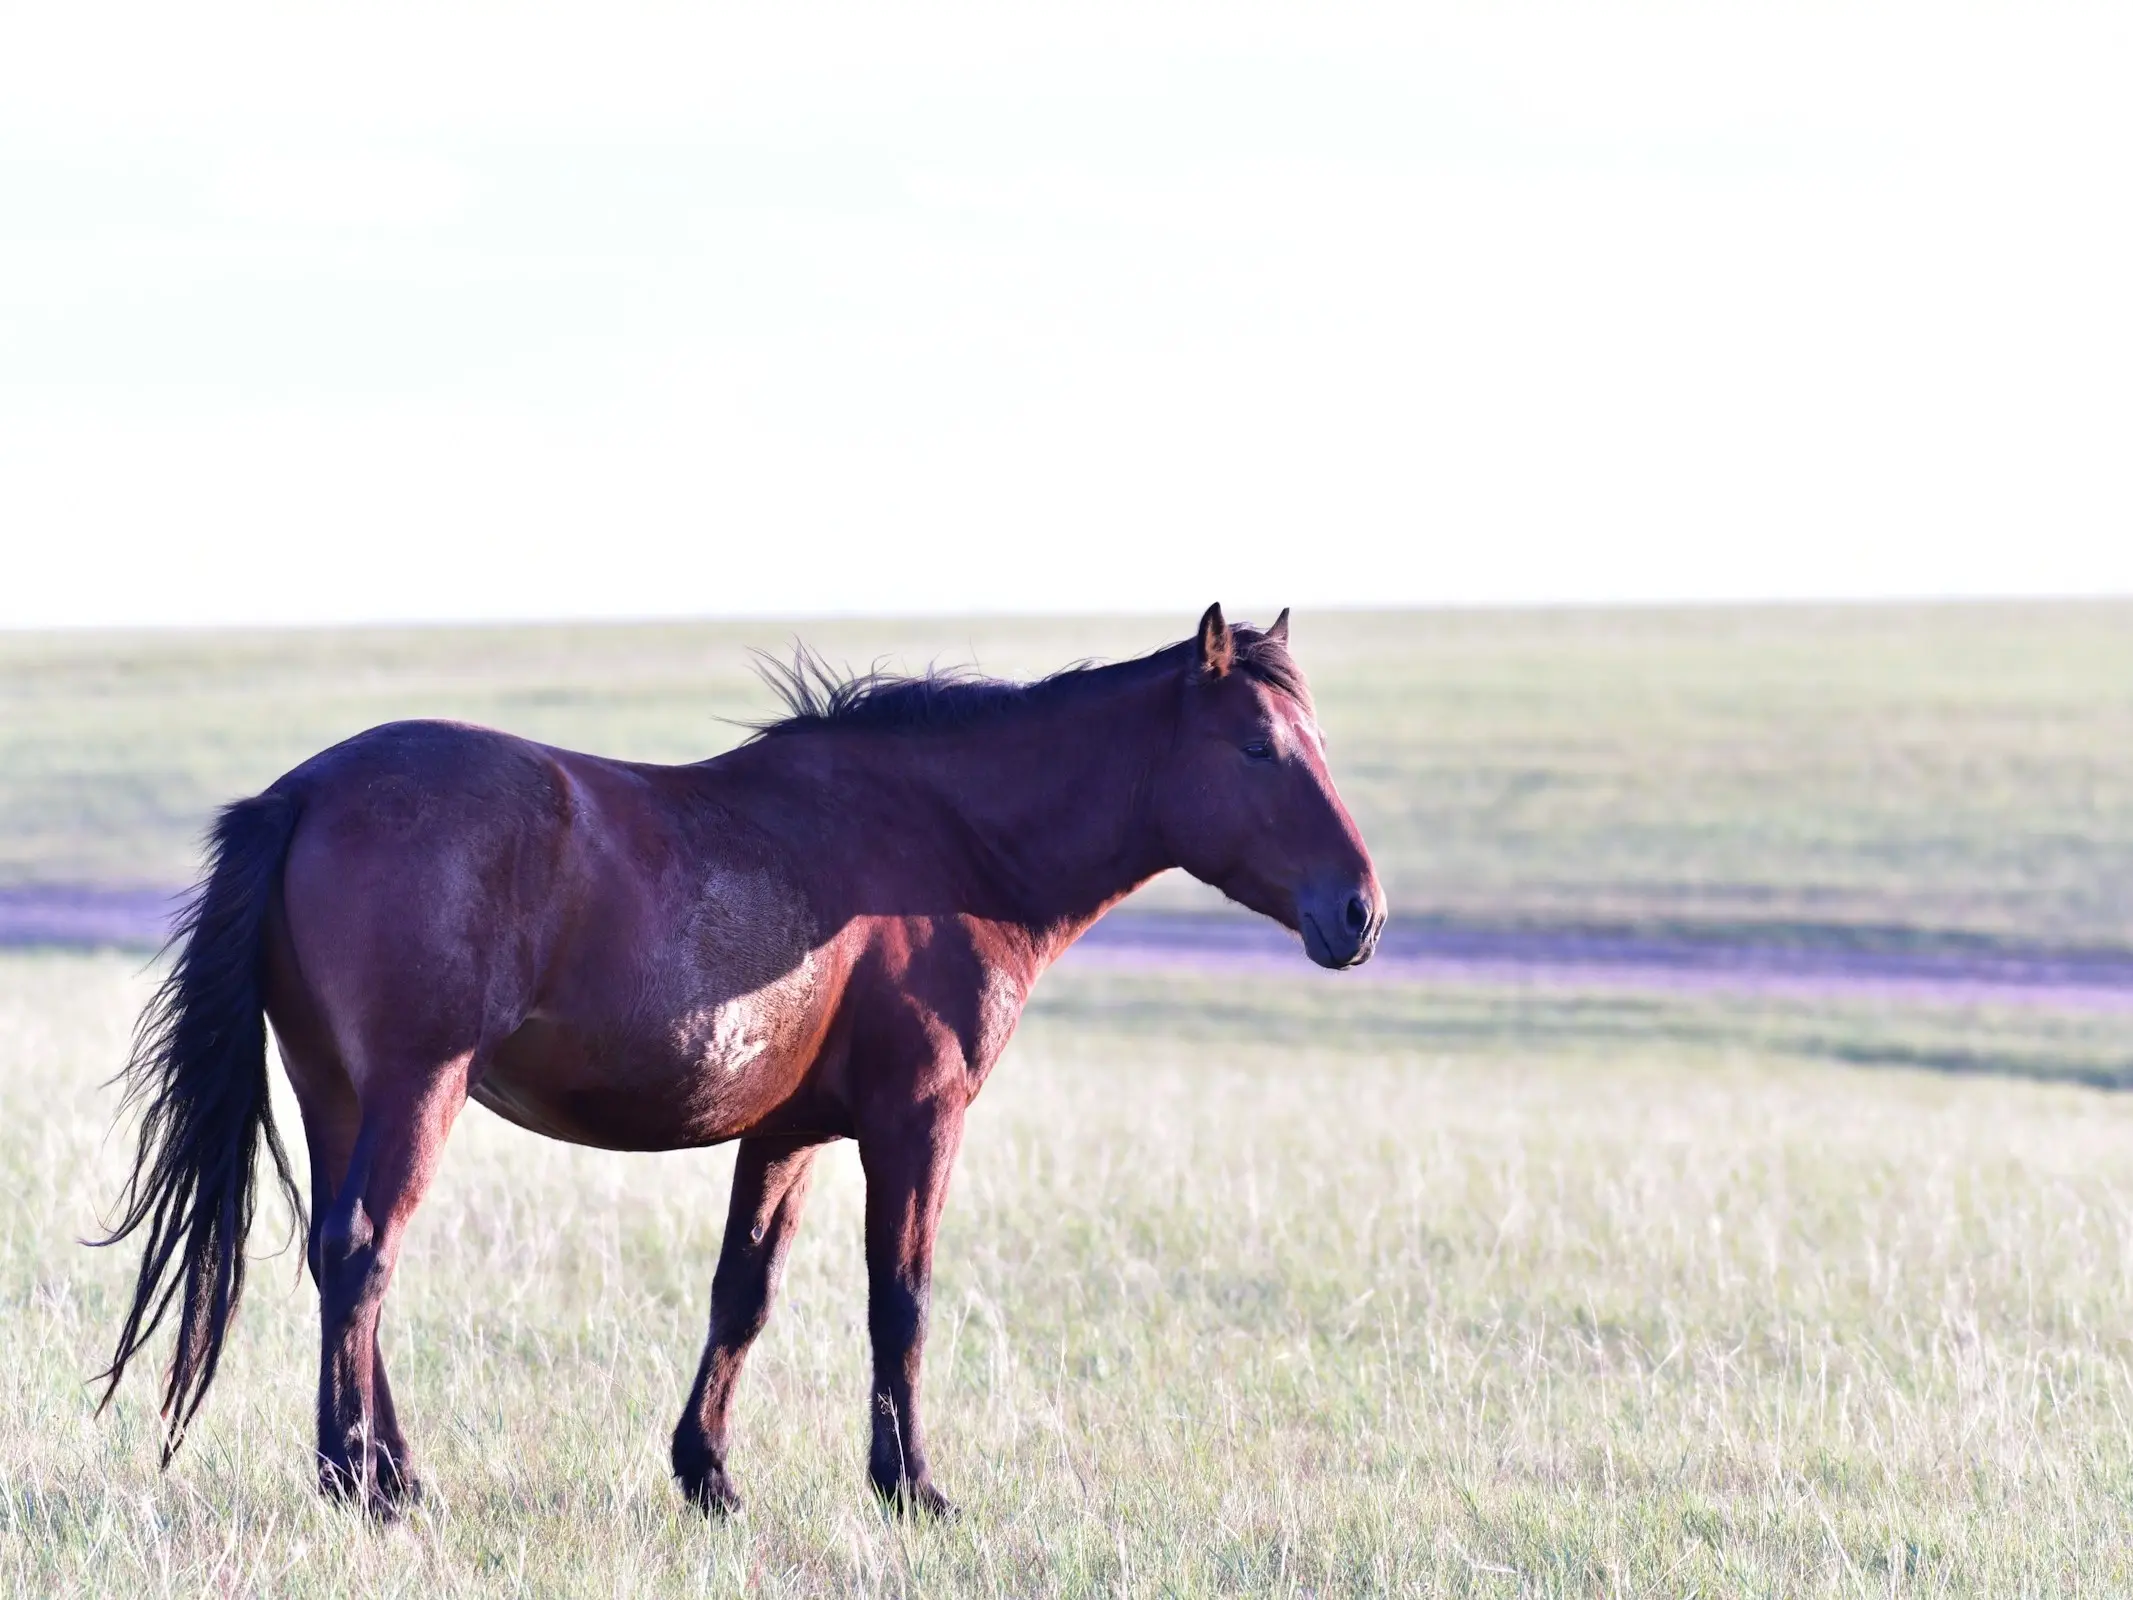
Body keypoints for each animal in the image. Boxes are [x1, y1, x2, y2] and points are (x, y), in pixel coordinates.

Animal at [100, 601, 1390, 1518]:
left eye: (1319, 741)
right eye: (1260, 747)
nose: (1360, 911)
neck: (945, 845)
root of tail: (307, 789)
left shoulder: (787, 1133)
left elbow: (744, 1293)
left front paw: (707, 1473)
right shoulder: (917, 1120)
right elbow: (901, 1298)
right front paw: (911, 1486)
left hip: (337, 1091)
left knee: (340, 1256)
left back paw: (384, 1469)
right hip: (417, 1091)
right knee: (367, 1251)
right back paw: (364, 1485)